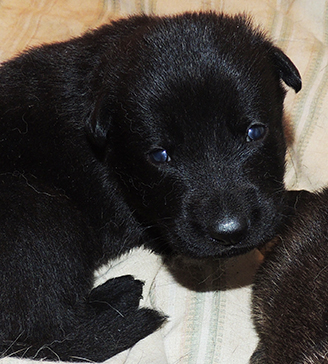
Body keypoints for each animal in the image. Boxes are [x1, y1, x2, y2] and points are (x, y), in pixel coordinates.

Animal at [0, 10, 302, 362]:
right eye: (159, 155)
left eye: (255, 132)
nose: (229, 232)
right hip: (38, 212)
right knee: (47, 328)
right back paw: (117, 301)